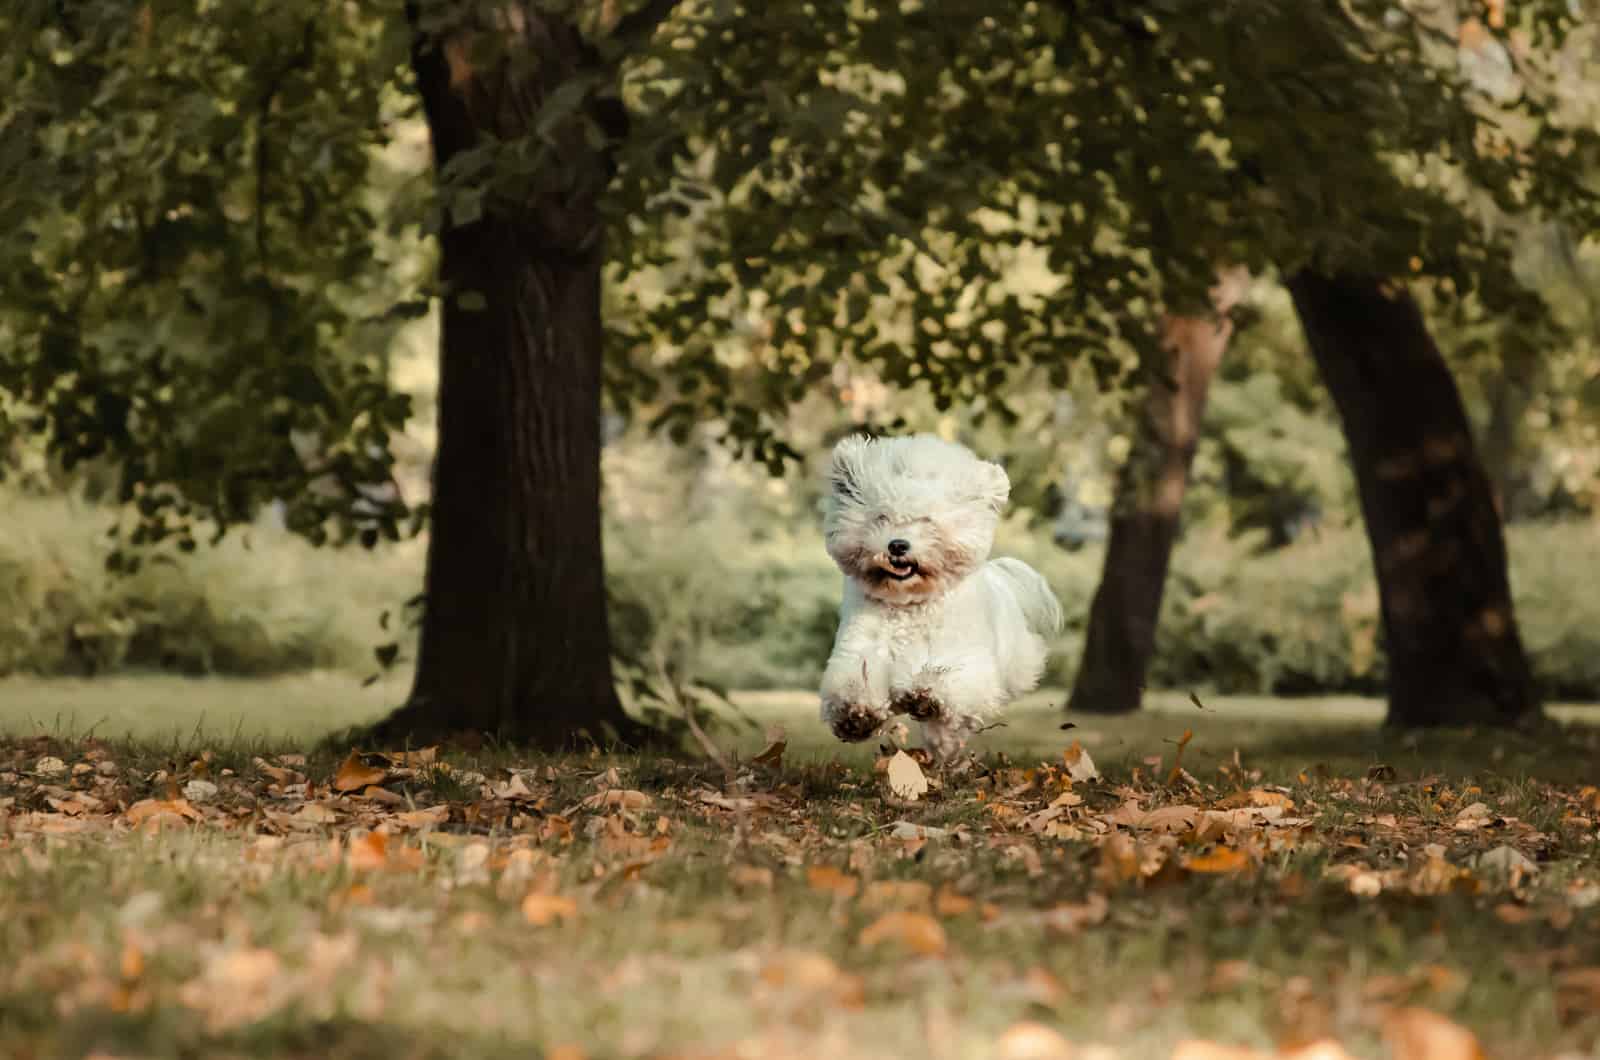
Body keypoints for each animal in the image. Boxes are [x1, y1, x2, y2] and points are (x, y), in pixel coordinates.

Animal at [825, 435, 1062, 758]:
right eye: (881, 517)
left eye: (927, 521)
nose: (897, 545)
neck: (909, 604)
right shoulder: (859, 648)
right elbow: (855, 679)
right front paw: (855, 714)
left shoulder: (966, 659)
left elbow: (946, 676)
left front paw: (924, 693)